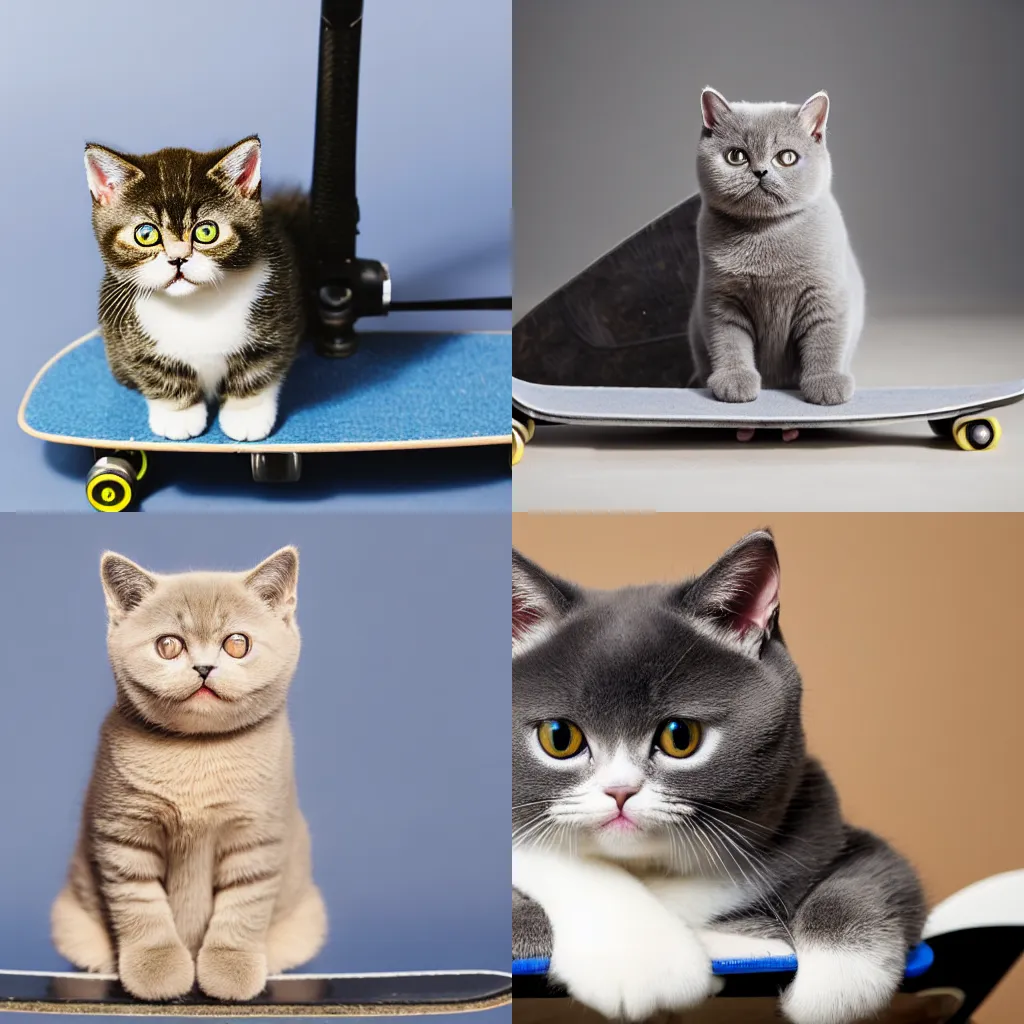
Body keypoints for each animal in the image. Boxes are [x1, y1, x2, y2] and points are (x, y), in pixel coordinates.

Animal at [49, 548, 325, 1003]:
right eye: (168, 645)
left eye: (237, 643)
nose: (204, 668)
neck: (198, 750)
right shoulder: (124, 834)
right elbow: (141, 906)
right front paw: (156, 968)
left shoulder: (258, 837)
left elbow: (243, 907)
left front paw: (230, 968)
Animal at [83, 136, 309, 440]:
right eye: (146, 234)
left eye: (206, 231)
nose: (178, 258)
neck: (195, 305)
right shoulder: (122, 329)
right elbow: (156, 372)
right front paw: (178, 416)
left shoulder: (280, 307)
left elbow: (260, 368)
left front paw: (246, 415)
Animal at [512, 532, 929, 1024]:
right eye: (559, 737)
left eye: (680, 736)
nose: (620, 791)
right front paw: (643, 959)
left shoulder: (825, 823)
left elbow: (874, 877)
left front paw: (833, 983)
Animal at [688, 83, 864, 413]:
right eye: (736, 156)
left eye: (786, 157)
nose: (760, 172)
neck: (764, 234)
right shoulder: (721, 300)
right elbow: (728, 341)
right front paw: (734, 381)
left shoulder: (825, 294)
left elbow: (825, 338)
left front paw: (827, 384)